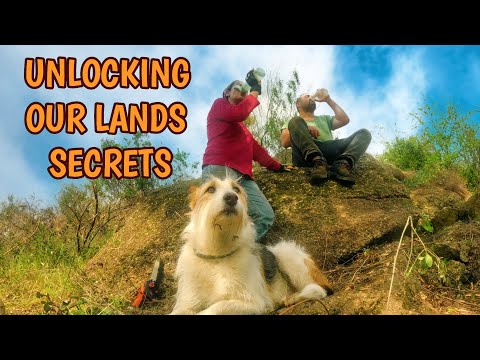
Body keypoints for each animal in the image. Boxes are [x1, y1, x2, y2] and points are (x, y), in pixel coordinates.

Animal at [170, 177, 334, 316]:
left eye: (236, 189)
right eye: (210, 189)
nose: (232, 197)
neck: (217, 254)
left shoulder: (253, 303)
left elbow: (217, 307)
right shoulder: (186, 304)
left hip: (287, 254)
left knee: (320, 289)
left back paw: (294, 297)